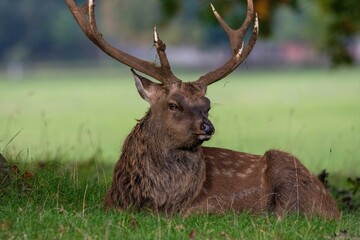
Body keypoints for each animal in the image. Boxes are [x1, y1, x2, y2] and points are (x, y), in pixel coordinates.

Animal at [65, 0, 340, 218]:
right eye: (173, 104)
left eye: (207, 106)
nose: (208, 127)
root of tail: (334, 209)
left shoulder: (208, 206)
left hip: (287, 171)